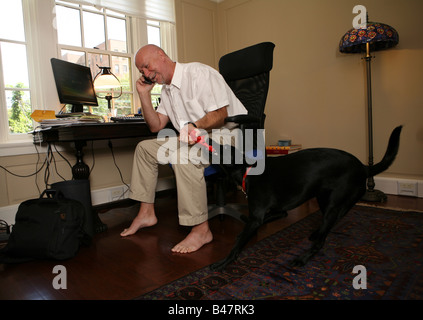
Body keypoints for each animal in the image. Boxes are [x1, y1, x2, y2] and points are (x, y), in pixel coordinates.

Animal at [210, 125, 402, 270]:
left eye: (224, 149)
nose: (209, 139)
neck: (248, 171)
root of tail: (363, 167)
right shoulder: (278, 212)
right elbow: (258, 221)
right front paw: (240, 233)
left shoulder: (256, 217)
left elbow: (238, 245)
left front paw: (223, 262)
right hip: (326, 201)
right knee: (329, 225)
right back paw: (316, 233)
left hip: (332, 205)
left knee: (321, 241)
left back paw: (302, 259)